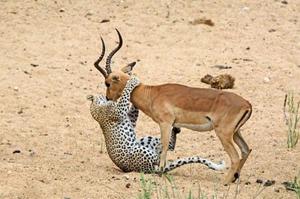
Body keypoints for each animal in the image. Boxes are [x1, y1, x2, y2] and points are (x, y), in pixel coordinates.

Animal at [93, 29, 251, 185]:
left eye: (107, 83)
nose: (108, 98)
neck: (152, 93)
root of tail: (247, 104)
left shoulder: (165, 123)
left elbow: (164, 145)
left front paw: (160, 171)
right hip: (235, 133)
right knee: (246, 150)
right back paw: (234, 178)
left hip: (223, 134)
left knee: (235, 156)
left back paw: (224, 182)